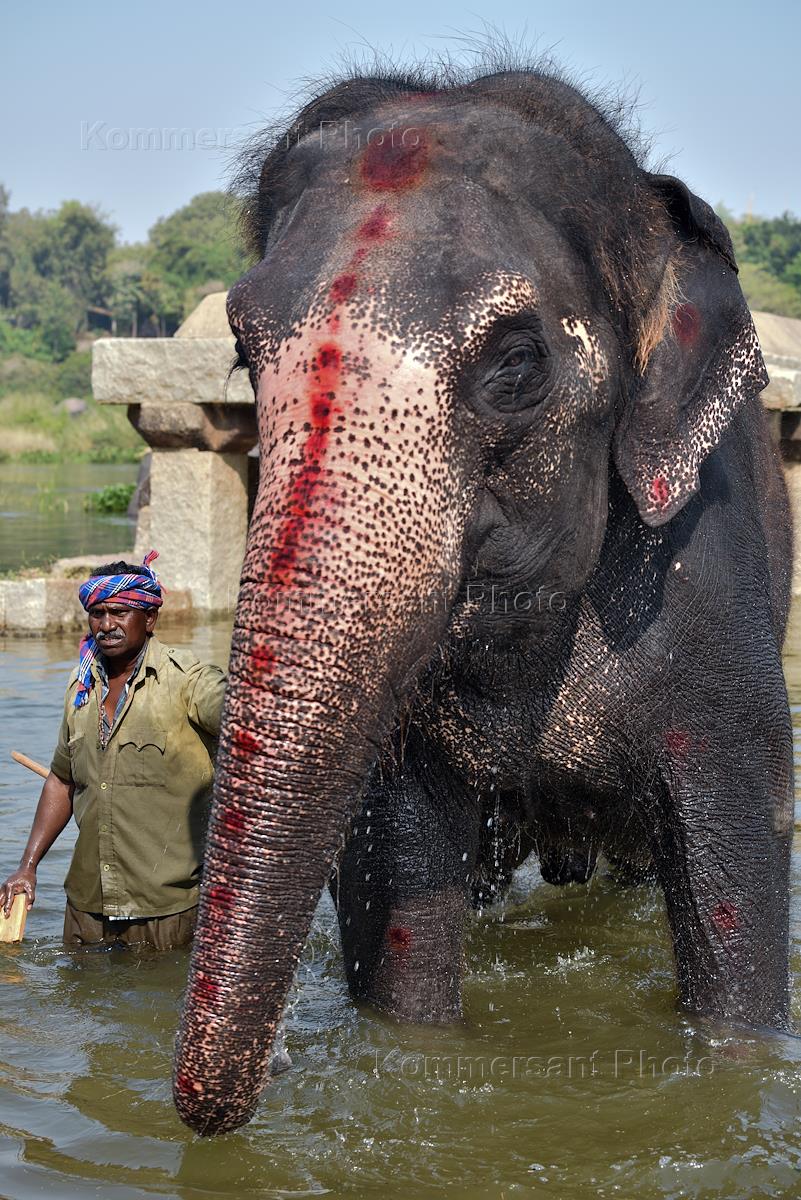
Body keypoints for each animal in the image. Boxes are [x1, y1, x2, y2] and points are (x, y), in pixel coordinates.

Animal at [172, 63, 794, 1136]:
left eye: (515, 364)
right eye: (246, 354)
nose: (247, 1086)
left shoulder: (718, 613)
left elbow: (737, 907)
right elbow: (403, 902)